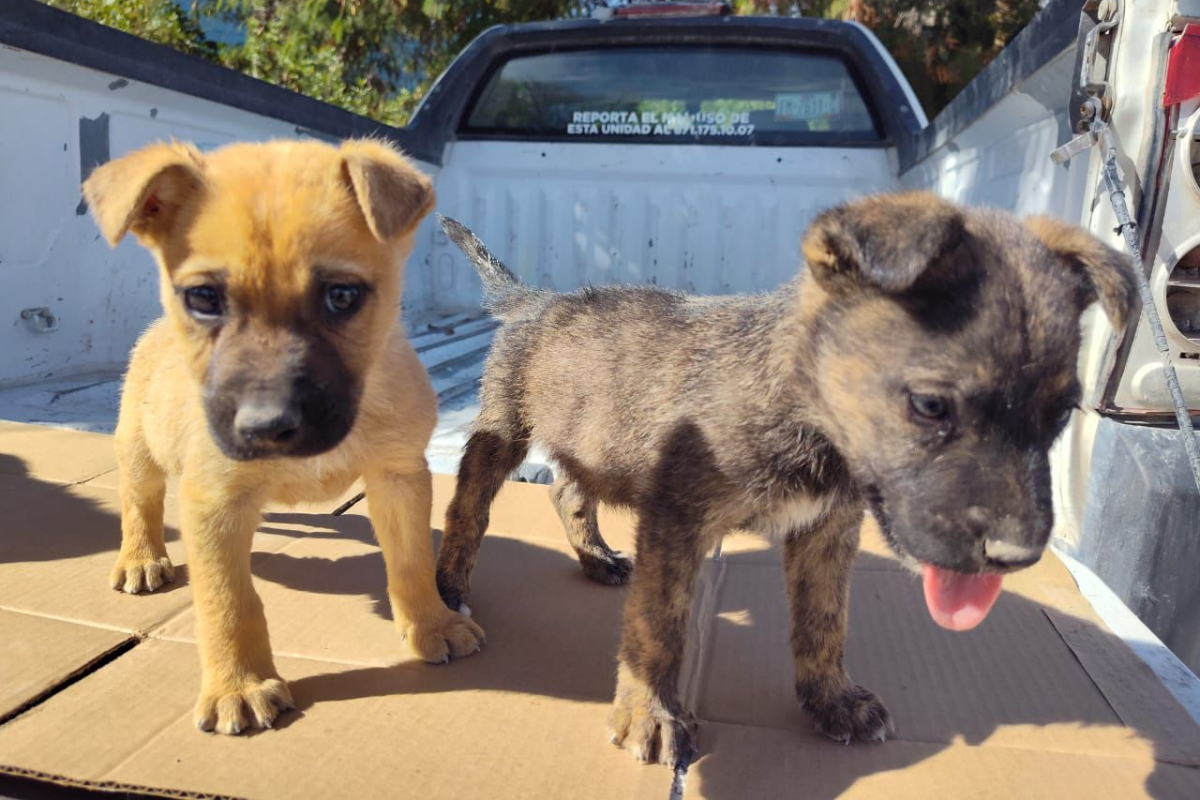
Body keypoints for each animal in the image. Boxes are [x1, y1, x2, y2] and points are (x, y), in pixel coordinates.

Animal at [82, 139, 484, 738]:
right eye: (204, 298)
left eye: (342, 296)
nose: (265, 426)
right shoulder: (214, 505)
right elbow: (229, 601)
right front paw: (240, 686)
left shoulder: (398, 478)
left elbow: (411, 560)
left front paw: (432, 623)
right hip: (138, 449)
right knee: (141, 503)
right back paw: (141, 559)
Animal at [432, 195, 1132, 767]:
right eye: (932, 405)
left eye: (1060, 414)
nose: (1017, 557)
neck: (802, 405)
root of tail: (536, 299)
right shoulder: (676, 518)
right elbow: (660, 624)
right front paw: (651, 714)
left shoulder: (827, 529)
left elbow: (825, 621)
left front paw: (831, 700)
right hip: (505, 426)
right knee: (471, 503)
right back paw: (450, 586)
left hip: (596, 442)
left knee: (567, 487)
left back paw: (597, 557)